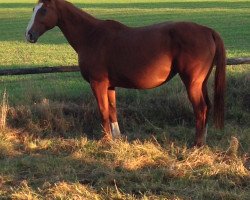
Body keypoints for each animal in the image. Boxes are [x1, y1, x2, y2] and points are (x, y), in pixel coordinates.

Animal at [25, 0, 227, 147]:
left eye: (43, 10)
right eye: (34, 9)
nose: (29, 35)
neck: (91, 36)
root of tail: (207, 30)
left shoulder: (97, 83)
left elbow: (103, 111)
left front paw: (106, 140)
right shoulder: (109, 85)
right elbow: (112, 110)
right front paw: (117, 138)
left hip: (192, 83)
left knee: (200, 108)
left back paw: (197, 144)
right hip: (201, 83)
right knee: (207, 107)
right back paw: (203, 141)